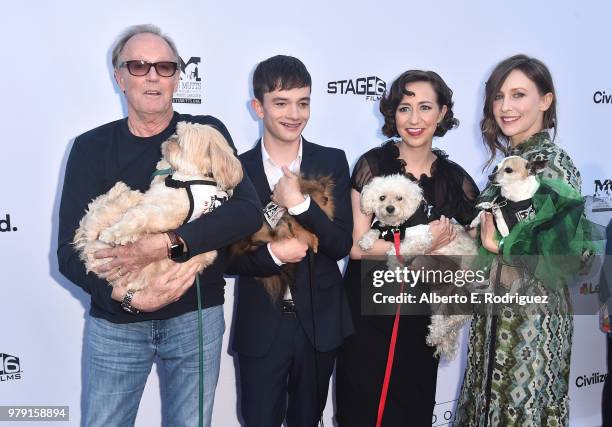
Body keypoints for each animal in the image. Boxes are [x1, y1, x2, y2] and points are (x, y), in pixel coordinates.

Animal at [73, 122, 243, 292]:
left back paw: (126, 195)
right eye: (176, 133)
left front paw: (111, 233)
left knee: (94, 221)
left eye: (180, 142)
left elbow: (135, 218)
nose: (172, 137)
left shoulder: (162, 214)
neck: (190, 179)